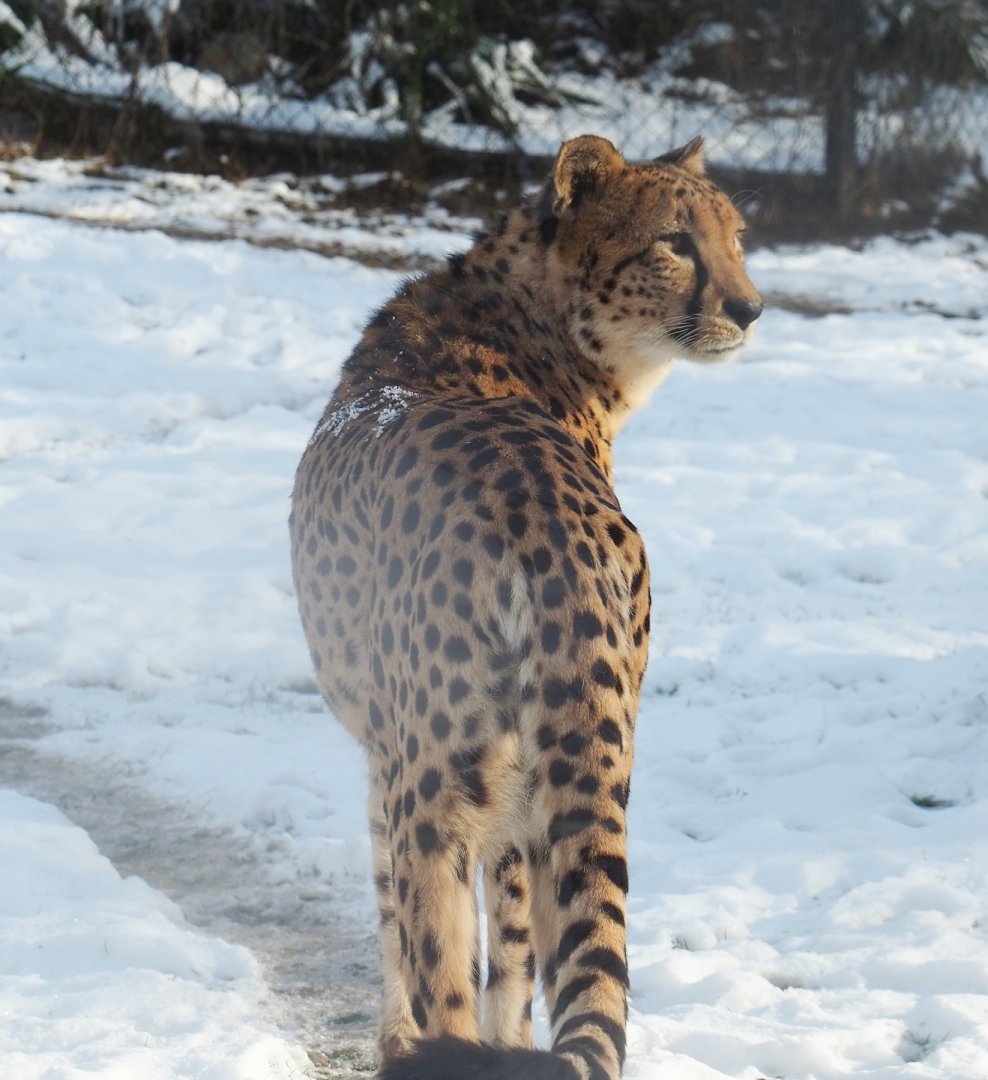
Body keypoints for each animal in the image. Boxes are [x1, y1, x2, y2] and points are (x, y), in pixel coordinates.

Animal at [290, 134, 762, 1080]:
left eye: (734, 236)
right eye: (675, 241)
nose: (751, 307)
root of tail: (544, 511)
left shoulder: (392, 761)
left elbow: (419, 928)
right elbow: (491, 949)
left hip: (456, 783)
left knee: (452, 966)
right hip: (545, 770)